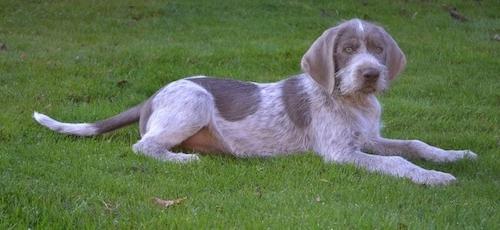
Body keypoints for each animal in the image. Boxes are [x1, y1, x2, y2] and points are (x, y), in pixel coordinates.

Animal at [34, 18, 476, 186]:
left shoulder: (367, 139)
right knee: (144, 146)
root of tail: (151, 96)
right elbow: (399, 161)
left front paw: (454, 156)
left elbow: (413, 144)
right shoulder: (341, 153)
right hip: (194, 101)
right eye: (348, 49)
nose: (370, 74)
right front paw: (433, 177)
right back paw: (183, 160)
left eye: (378, 50)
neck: (355, 103)